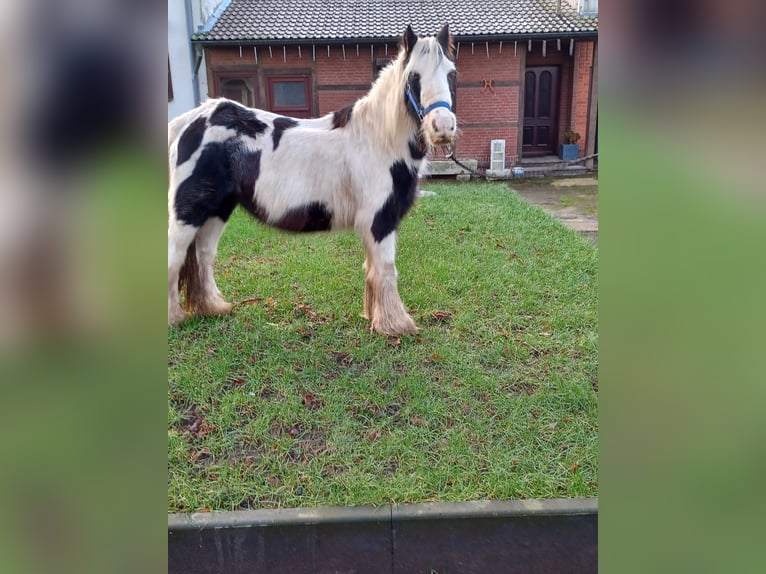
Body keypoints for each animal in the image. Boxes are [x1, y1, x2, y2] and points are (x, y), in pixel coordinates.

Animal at [168, 24, 456, 336]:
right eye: (414, 77)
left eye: (451, 73)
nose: (442, 127)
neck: (379, 141)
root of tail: (188, 121)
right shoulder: (380, 220)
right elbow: (386, 269)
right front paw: (395, 324)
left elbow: (372, 269)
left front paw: (374, 316)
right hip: (188, 213)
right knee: (174, 256)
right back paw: (174, 318)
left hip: (217, 210)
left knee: (203, 255)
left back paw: (212, 307)